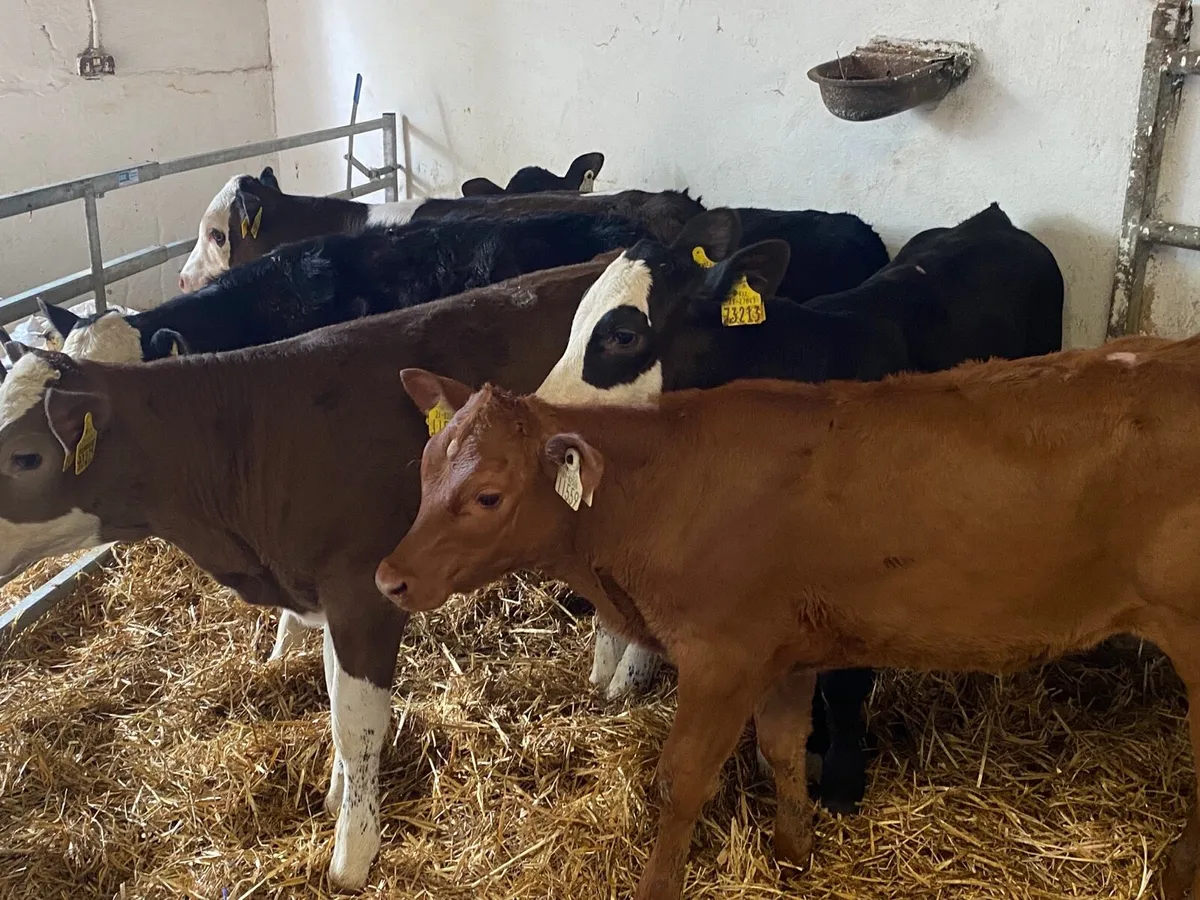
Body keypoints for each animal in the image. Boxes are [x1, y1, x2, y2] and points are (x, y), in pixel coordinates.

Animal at [0, 256, 612, 891]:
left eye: (27, 456)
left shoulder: (365, 593)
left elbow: (356, 719)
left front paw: (351, 855)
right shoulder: (324, 594)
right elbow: (335, 693)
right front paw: (337, 796)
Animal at [375, 335, 1200, 900]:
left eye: (487, 495)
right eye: (425, 468)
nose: (390, 578)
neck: (659, 489)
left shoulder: (722, 655)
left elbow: (681, 779)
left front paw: (656, 887)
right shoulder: (785, 648)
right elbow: (781, 746)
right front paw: (793, 852)